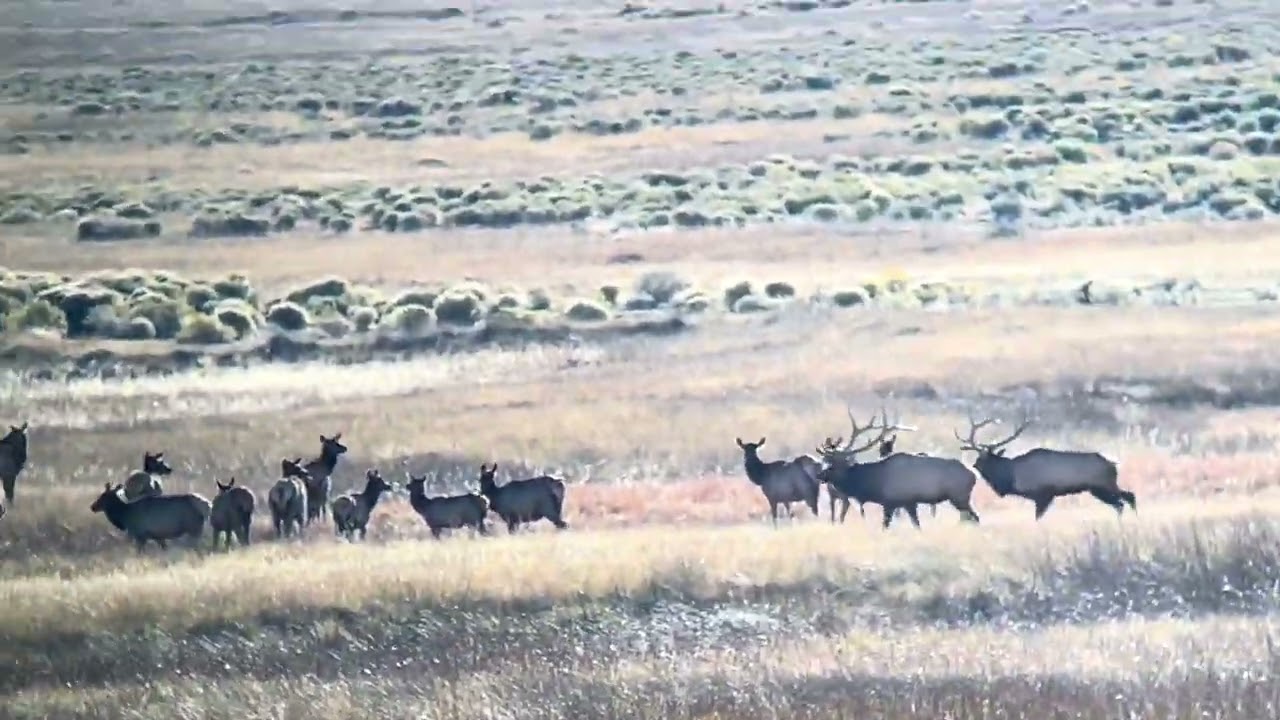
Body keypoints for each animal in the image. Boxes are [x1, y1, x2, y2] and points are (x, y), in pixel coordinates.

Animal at [817, 405, 981, 530]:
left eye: (833, 465)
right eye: (825, 461)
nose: (819, 475)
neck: (873, 484)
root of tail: (973, 476)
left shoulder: (891, 502)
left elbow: (885, 526)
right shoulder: (909, 503)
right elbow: (917, 525)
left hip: (959, 497)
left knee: (975, 518)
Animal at [955, 411, 1137, 520]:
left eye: (983, 458)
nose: (974, 464)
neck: (1012, 477)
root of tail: (1113, 465)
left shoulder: (1044, 493)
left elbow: (1038, 517)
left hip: (1103, 486)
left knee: (1125, 500)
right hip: (1099, 489)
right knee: (1126, 498)